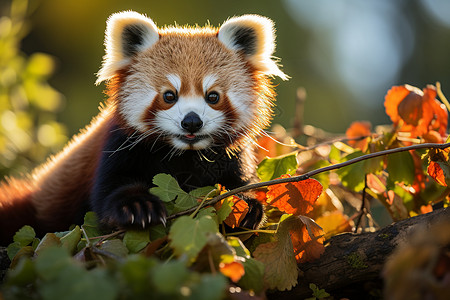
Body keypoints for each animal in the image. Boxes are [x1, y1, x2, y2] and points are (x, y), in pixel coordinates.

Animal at [0, 11, 288, 244]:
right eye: (169, 95)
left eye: (213, 96)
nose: (191, 121)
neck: (184, 155)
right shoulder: (118, 146)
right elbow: (110, 191)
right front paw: (138, 206)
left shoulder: (233, 156)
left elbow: (238, 184)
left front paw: (247, 205)